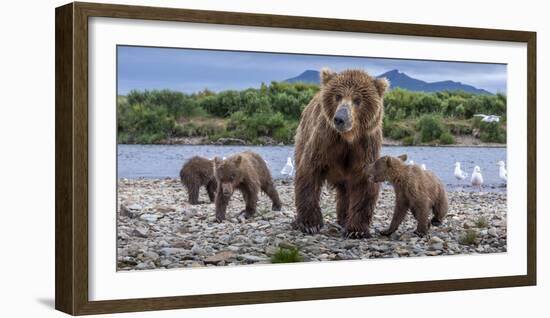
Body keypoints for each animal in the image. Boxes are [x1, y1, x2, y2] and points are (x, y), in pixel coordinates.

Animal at [296, 68, 390, 237]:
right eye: (338, 96)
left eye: (357, 99)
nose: (340, 119)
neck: (348, 138)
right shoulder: (325, 140)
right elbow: (309, 172)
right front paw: (310, 224)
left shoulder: (365, 146)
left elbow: (364, 182)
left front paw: (356, 230)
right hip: (303, 134)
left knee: (346, 191)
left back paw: (344, 218)